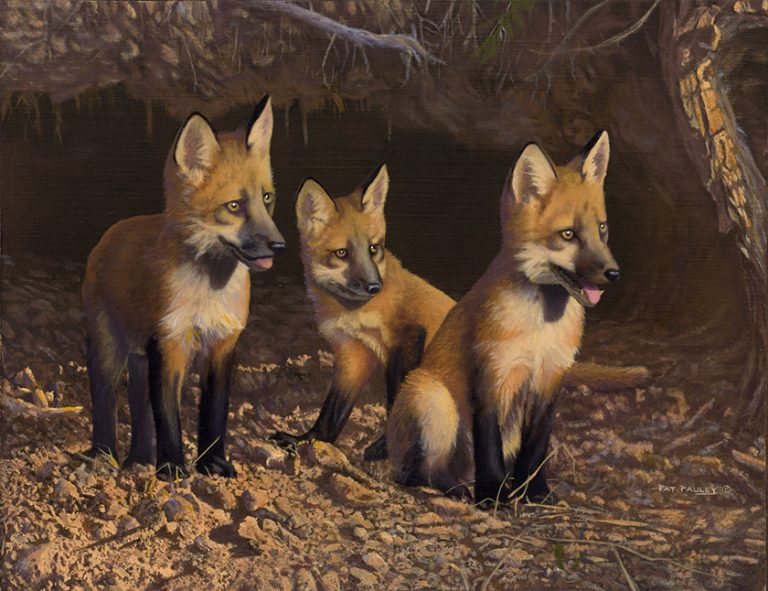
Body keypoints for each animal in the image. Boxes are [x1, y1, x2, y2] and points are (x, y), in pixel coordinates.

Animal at [82, 96, 286, 479]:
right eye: (234, 206)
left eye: (266, 198)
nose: (279, 245)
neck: (208, 293)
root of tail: (111, 231)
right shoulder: (170, 341)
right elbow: (168, 415)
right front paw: (172, 467)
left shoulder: (224, 342)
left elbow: (214, 411)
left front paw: (212, 463)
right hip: (109, 351)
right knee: (105, 400)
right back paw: (105, 454)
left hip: (141, 358)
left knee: (139, 407)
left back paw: (139, 458)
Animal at [272, 157, 646, 462]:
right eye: (342, 254)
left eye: (374, 248)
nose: (374, 286)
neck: (352, 313)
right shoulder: (353, 354)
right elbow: (331, 412)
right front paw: (306, 439)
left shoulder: (407, 338)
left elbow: (397, 397)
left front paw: (385, 446)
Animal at [388, 131, 623, 503]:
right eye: (568, 234)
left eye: (602, 229)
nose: (614, 273)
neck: (541, 329)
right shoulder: (492, 375)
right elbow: (489, 446)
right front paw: (493, 495)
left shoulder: (549, 378)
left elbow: (536, 447)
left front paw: (534, 492)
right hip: (435, 401)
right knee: (419, 471)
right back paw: (459, 490)